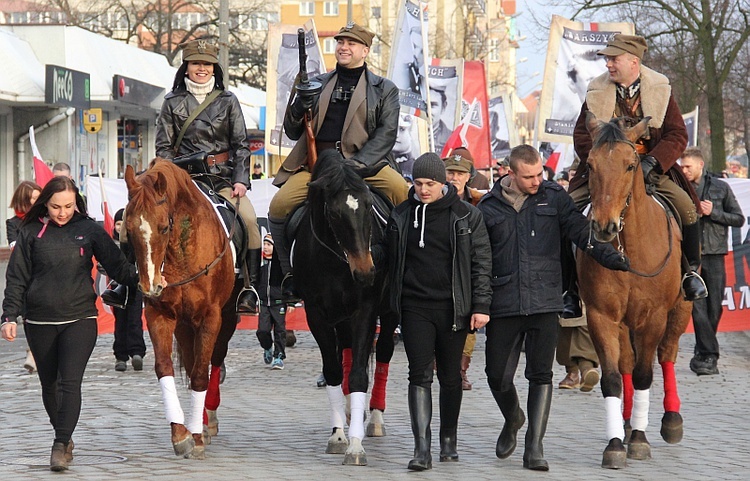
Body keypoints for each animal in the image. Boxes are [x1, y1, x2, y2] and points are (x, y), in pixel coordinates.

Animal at [124, 160, 238, 458]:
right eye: (128, 230)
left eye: (164, 227)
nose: (150, 286)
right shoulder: (160, 314)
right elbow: (165, 368)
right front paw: (180, 434)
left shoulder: (211, 317)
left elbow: (200, 373)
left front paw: (195, 435)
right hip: (185, 325)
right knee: (191, 358)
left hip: (227, 319)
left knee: (213, 362)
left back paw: (208, 421)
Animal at [294, 149, 400, 464]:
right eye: (333, 212)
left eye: (368, 205)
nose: (365, 272)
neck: (334, 260)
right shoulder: (316, 315)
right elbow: (333, 370)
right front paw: (339, 435)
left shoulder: (365, 310)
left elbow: (359, 375)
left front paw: (355, 444)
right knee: (349, 354)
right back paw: (353, 413)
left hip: (388, 312)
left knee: (384, 352)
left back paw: (374, 418)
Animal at [580, 113, 696, 468]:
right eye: (590, 164)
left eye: (631, 165)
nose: (603, 226)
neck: (629, 246)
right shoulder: (602, 316)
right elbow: (614, 377)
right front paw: (616, 443)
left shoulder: (653, 316)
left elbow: (646, 374)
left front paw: (641, 441)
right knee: (627, 364)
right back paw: (628, 422)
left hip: (680, 309)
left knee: (667, 353)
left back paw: (670, 420)